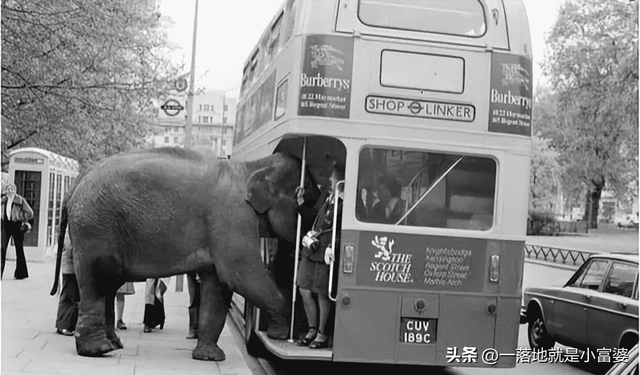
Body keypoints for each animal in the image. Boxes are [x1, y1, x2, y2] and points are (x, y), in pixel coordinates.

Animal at [49, 147, 320, 362]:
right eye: (311, 201)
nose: (312, 241)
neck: (252, 166)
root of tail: (75, 186)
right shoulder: (232, 217)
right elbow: (239, 274)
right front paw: (280, 334)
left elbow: (218, 286)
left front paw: (210, 357)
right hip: (95, 227)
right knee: (97, 279)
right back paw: (98, 350)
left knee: (109, 283)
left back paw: (114, 344)